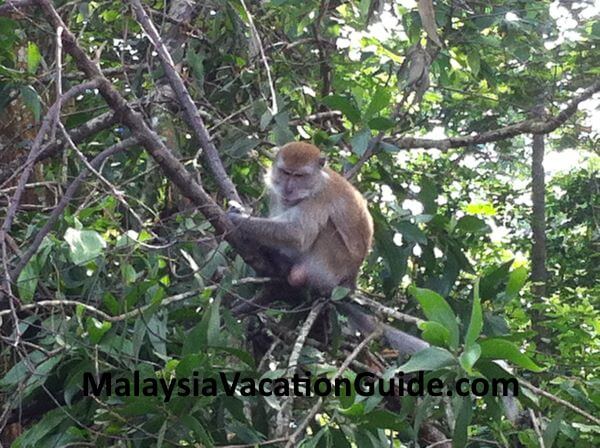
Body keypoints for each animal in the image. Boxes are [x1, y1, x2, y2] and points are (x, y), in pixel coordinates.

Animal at [227, 142, 372, 296]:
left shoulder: (319, 197)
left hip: (331, 269)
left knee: (324, 227)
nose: (288, 189)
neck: (318, 180)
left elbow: (299, 234)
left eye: (299, 176)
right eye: (285, 172)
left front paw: (237, 218)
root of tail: (351, 279)